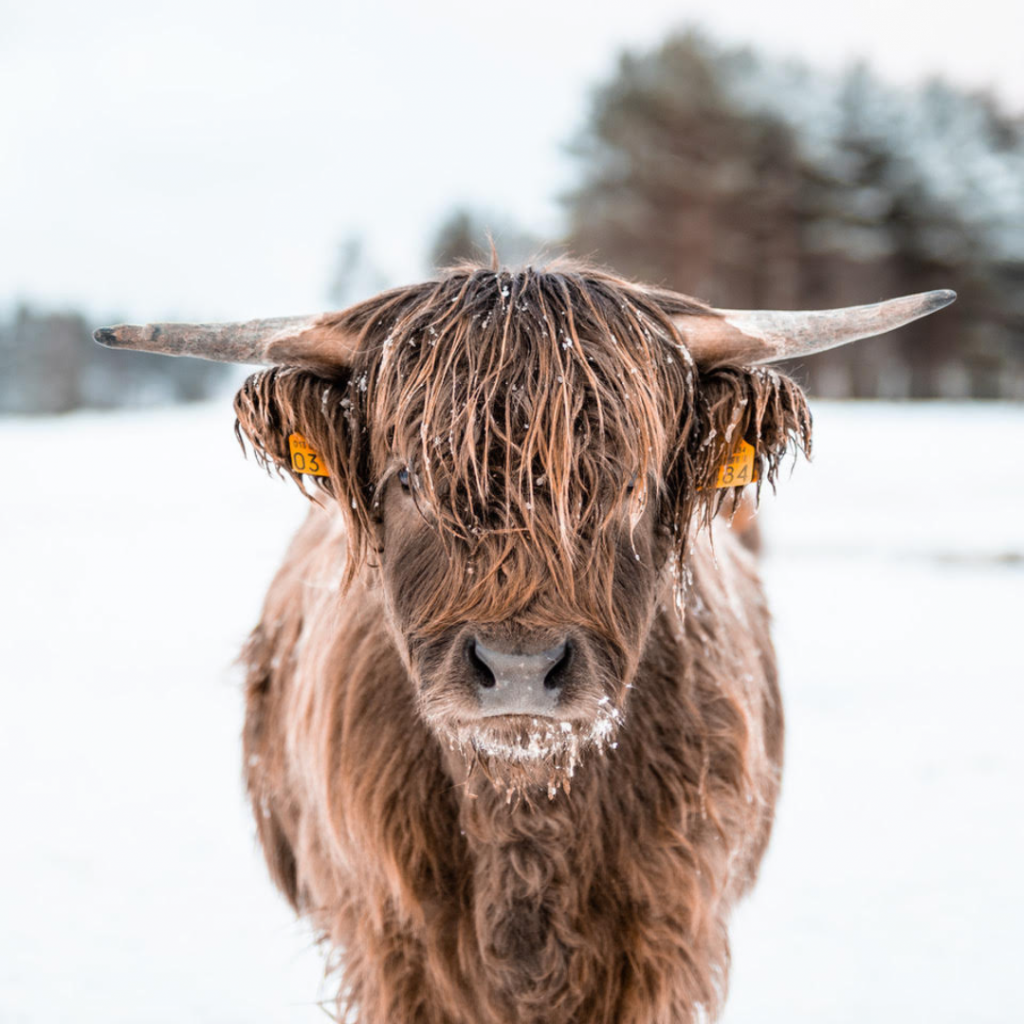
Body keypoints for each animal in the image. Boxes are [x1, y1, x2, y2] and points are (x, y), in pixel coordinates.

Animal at [94, 260, 950, 1019]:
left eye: (630, 483)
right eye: (408, 478)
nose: (518, 667)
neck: (525, 818)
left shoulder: (667, 938)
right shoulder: (390, 945)